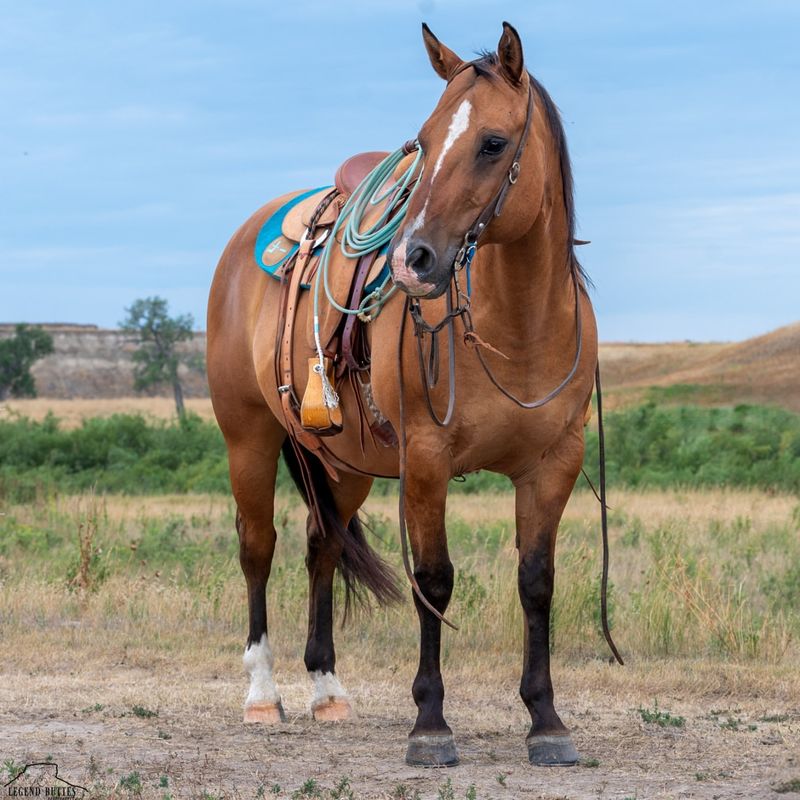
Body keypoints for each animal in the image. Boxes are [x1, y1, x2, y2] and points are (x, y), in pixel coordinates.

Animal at [205, 21, 612, 764]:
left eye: (493, 143)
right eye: (423, 140)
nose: (411, 259)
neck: (517, 329)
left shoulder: (553, 465)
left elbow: (536, 582)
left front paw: (546, 720)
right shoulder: (426, 459)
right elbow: (434, 579)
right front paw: (430, 723)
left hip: (344, 462)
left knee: (321, 544)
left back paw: (326, 690)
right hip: (247, 436)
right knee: (258, 547)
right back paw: (263, 694)